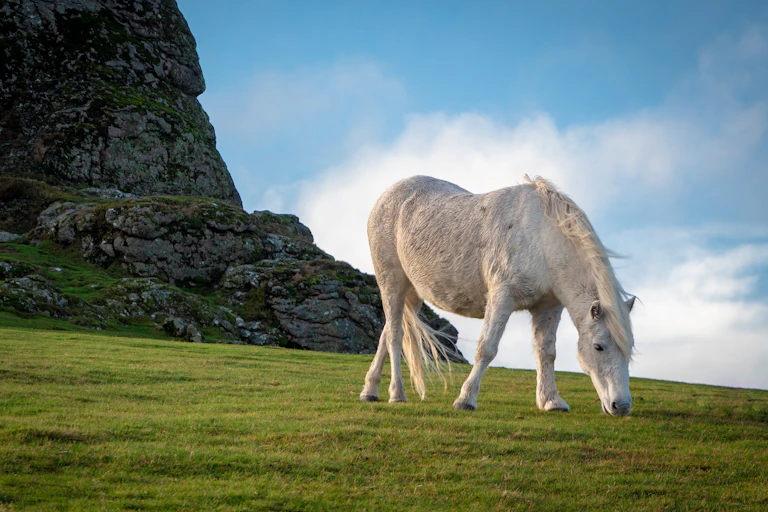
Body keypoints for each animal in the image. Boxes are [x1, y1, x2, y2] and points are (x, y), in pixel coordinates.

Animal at [359, 175, 636, 416]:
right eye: (598, 346)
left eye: (629, 350)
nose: (621, 406)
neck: (540, 237)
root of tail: (388, 194)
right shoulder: (502, 297)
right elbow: (487, 348)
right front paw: (465, 399)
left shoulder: (548, 307)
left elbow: (547, 352)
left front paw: (551, 401)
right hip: (392, 282)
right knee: (395, 336)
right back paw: (396, 393)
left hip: (414, 292)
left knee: (387, 333)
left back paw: (370, 390)